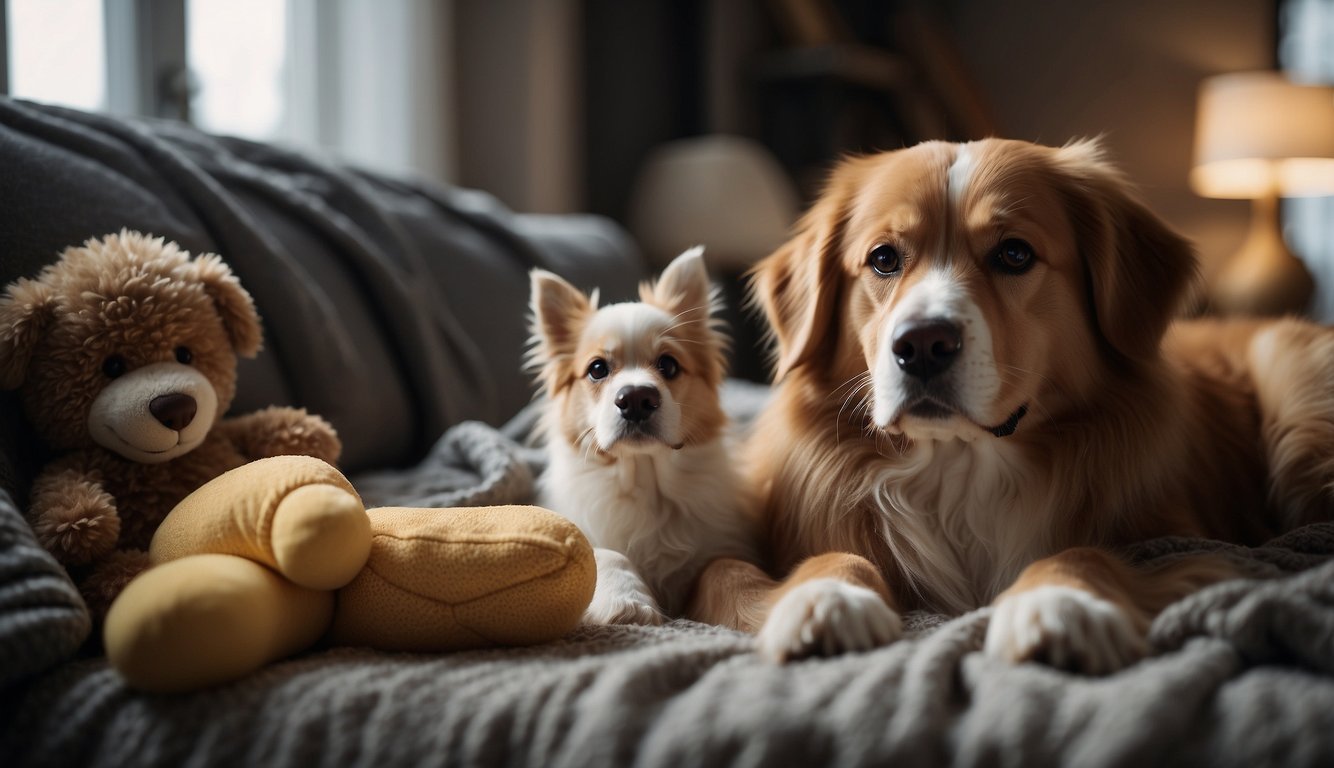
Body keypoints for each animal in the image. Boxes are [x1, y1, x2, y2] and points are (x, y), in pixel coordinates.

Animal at [530, 249, 763, 626]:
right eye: (597, 369)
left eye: (669, 365)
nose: (636, 398)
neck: (645, 479)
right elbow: (604, 552)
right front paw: (628, 602)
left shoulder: (719, 546)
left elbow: (725, 565)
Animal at [693, 138, 1334, 672]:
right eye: (883, 258)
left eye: (1015, 254)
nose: (921, 345)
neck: (959, 465)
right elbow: (740, 564)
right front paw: (825, 595)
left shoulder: (1189, 543)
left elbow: (1085, 552)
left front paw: (1060, 601)